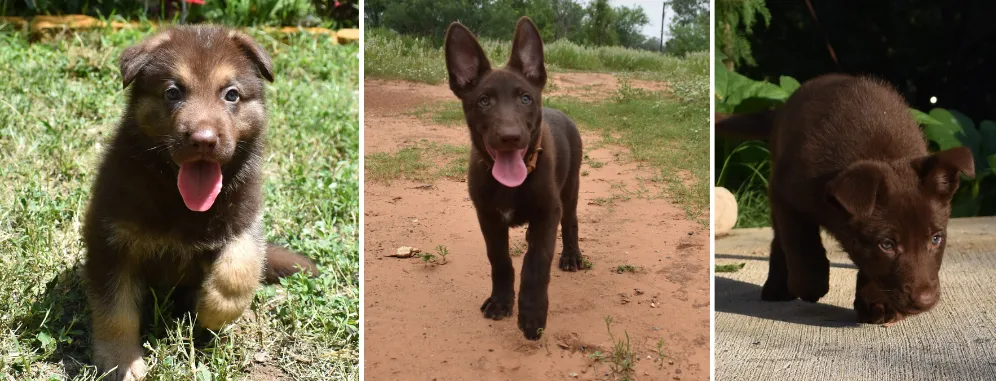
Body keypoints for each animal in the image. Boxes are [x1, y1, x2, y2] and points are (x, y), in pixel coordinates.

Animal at [86, 25, 320, 378]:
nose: (203, 140)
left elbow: (238, 271)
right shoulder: (111, 238)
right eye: (173, 92)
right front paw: (120, 361)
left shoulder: (244, 220)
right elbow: (116, 311)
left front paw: (211, 310)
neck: (178, 196)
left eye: (231, 94)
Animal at [444, 17, 584, 338]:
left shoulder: (548, 210)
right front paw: (500, 302)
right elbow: (500, 259)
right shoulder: (487, 217)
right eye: (484, 101)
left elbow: (536, 263)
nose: (510, 137)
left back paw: (571, 256)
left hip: (570, 188)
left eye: (525, 98)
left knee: (570, 222)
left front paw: (532, 315)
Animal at [712, 74, 976, 324]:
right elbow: (799, 240)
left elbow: (870, 266)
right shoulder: (785, 192)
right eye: (887, 245)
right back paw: (778, 287)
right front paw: (810, 283)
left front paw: (876, 303)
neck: (880, 154)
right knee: (780, 238)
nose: (925, 302)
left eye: (936, 239)